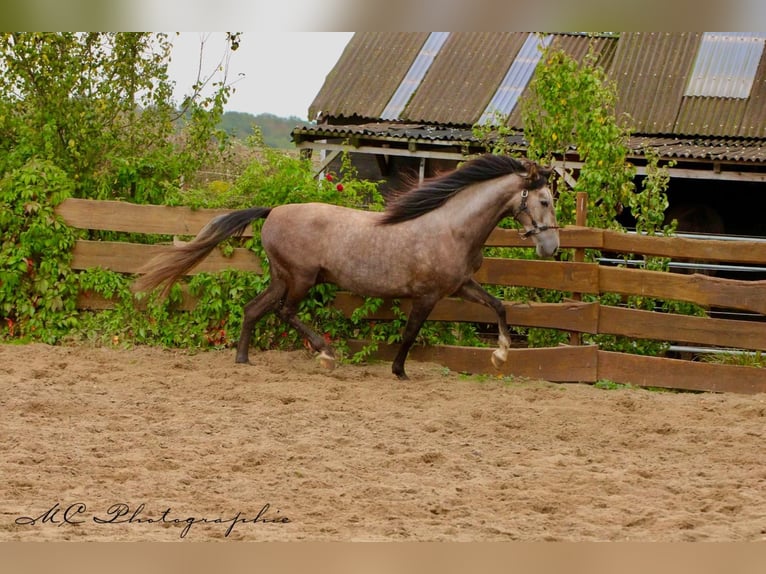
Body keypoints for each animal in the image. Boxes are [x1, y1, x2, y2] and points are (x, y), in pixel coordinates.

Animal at [133, 154, 559, 380]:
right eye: (544, 201)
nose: (551, 247)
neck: (451, 226)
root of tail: (273, 211)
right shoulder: (428, 295)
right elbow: (409, 334)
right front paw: (399, 371)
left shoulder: (459, 286)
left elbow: (499, 306)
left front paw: (501, 354)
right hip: (301, 278)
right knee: (285, 312)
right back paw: (325, 352)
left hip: (282, 277)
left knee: (254, 309)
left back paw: (243, 359)